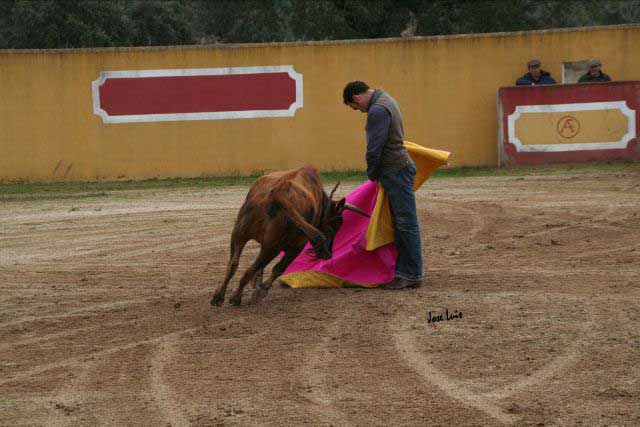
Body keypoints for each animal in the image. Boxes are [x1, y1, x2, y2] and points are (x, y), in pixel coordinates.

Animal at [211, 166, 368, 306]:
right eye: (336, 224)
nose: (328, 254)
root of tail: (278, 193)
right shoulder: (296, 246)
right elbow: (278, 268)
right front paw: (260, 290)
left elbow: (259, 268)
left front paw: (257, 285)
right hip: (276, 246)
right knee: (256, 268)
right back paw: (236, 298)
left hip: (239, 233)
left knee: (234, 264)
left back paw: (218, 297)